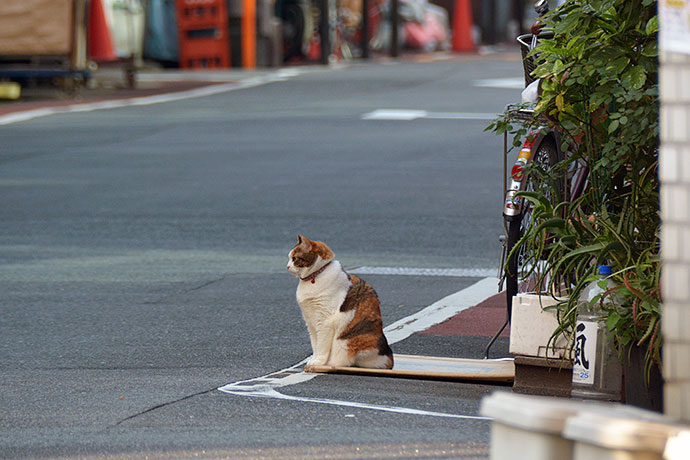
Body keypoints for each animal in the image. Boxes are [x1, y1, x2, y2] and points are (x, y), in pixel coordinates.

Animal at [284, 235, 392, 372]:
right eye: (289, 258)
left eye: (294, 258)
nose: (287, 266)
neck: (315, 277)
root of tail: (389, 360)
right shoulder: (311, 322)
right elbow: (315, 344)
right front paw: (314, 360)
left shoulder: (324, 322)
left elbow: (321, 347)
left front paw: (317, 362)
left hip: (347, 341)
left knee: (346, 361)